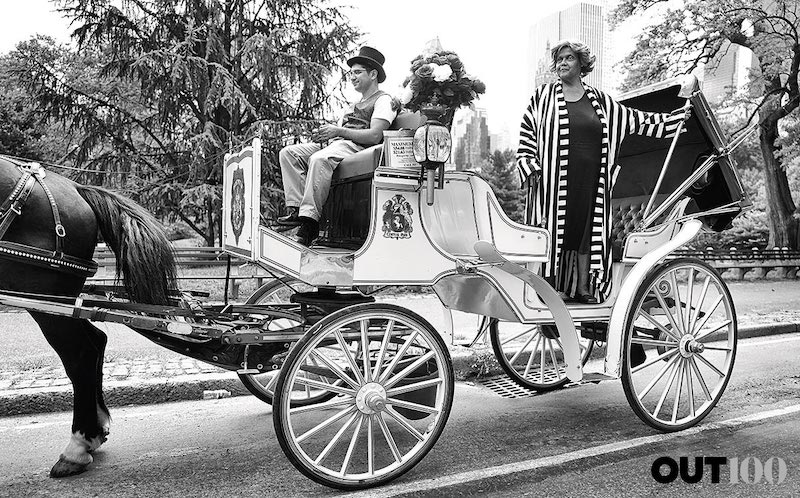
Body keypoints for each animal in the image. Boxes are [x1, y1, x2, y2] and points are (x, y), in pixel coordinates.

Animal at [0, 156, 177, 474]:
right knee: (95, 341)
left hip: (45, 298)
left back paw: (77, 447)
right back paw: (96, 430)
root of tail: (75, 188)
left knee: (80, 354)